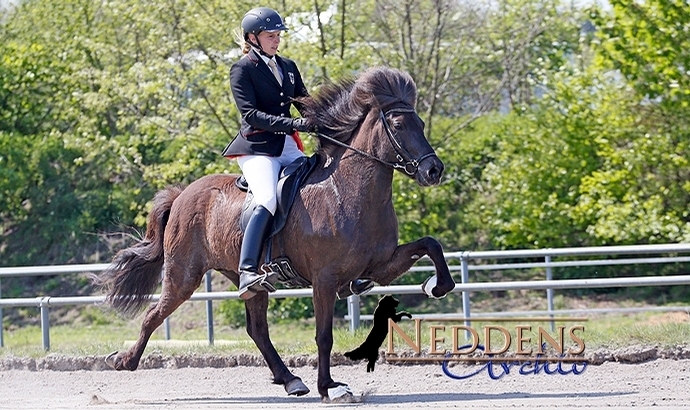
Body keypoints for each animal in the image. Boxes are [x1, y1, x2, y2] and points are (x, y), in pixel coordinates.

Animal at [92, 66, 456, 400]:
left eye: (421, 124)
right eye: (398, 125)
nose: (433, 170)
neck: (347, 191)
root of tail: (182, 194)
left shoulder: (379, 266)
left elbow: (430, 244)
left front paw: (437, 286)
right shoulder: (324, 280)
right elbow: (324, 335)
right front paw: (330, 387)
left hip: (245, 281)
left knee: (257, 329)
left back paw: (290, 380)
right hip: (184, 276)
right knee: (154, 314)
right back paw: (124, 361)